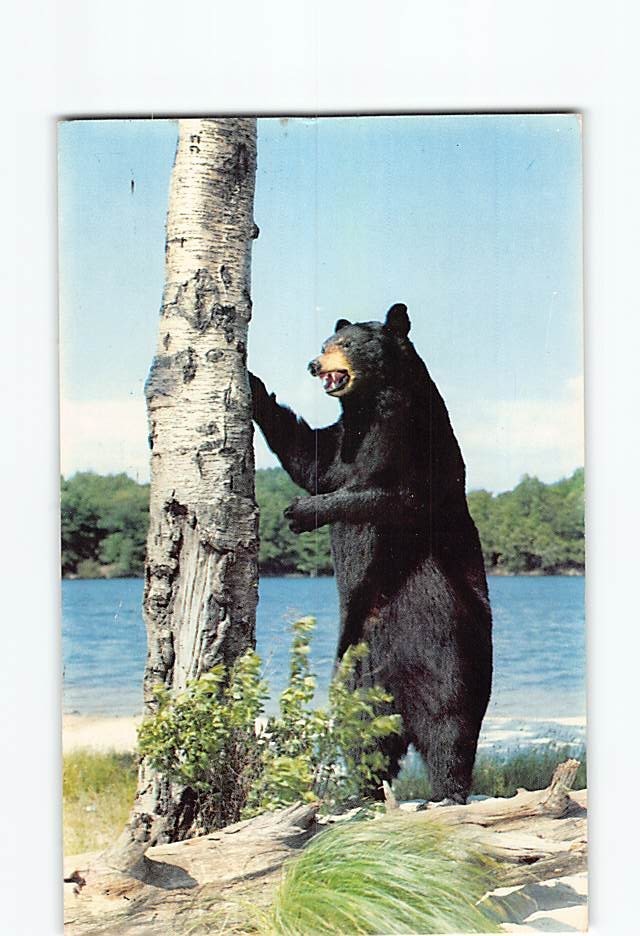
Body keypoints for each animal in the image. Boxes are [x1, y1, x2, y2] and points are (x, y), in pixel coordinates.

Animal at [249, 303, 492, 804]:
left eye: (344, 344)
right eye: (325, 343)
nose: (314, 363)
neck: (370, 406)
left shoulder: (411, 435)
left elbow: (393, 495)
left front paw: (303, 512)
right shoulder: (346, 437)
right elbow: (312, 461)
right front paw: (253, 383)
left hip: (448, 643)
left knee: (449, 719)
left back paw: (449, 790)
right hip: (355, 665)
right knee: (361, 729)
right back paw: (362, 791)